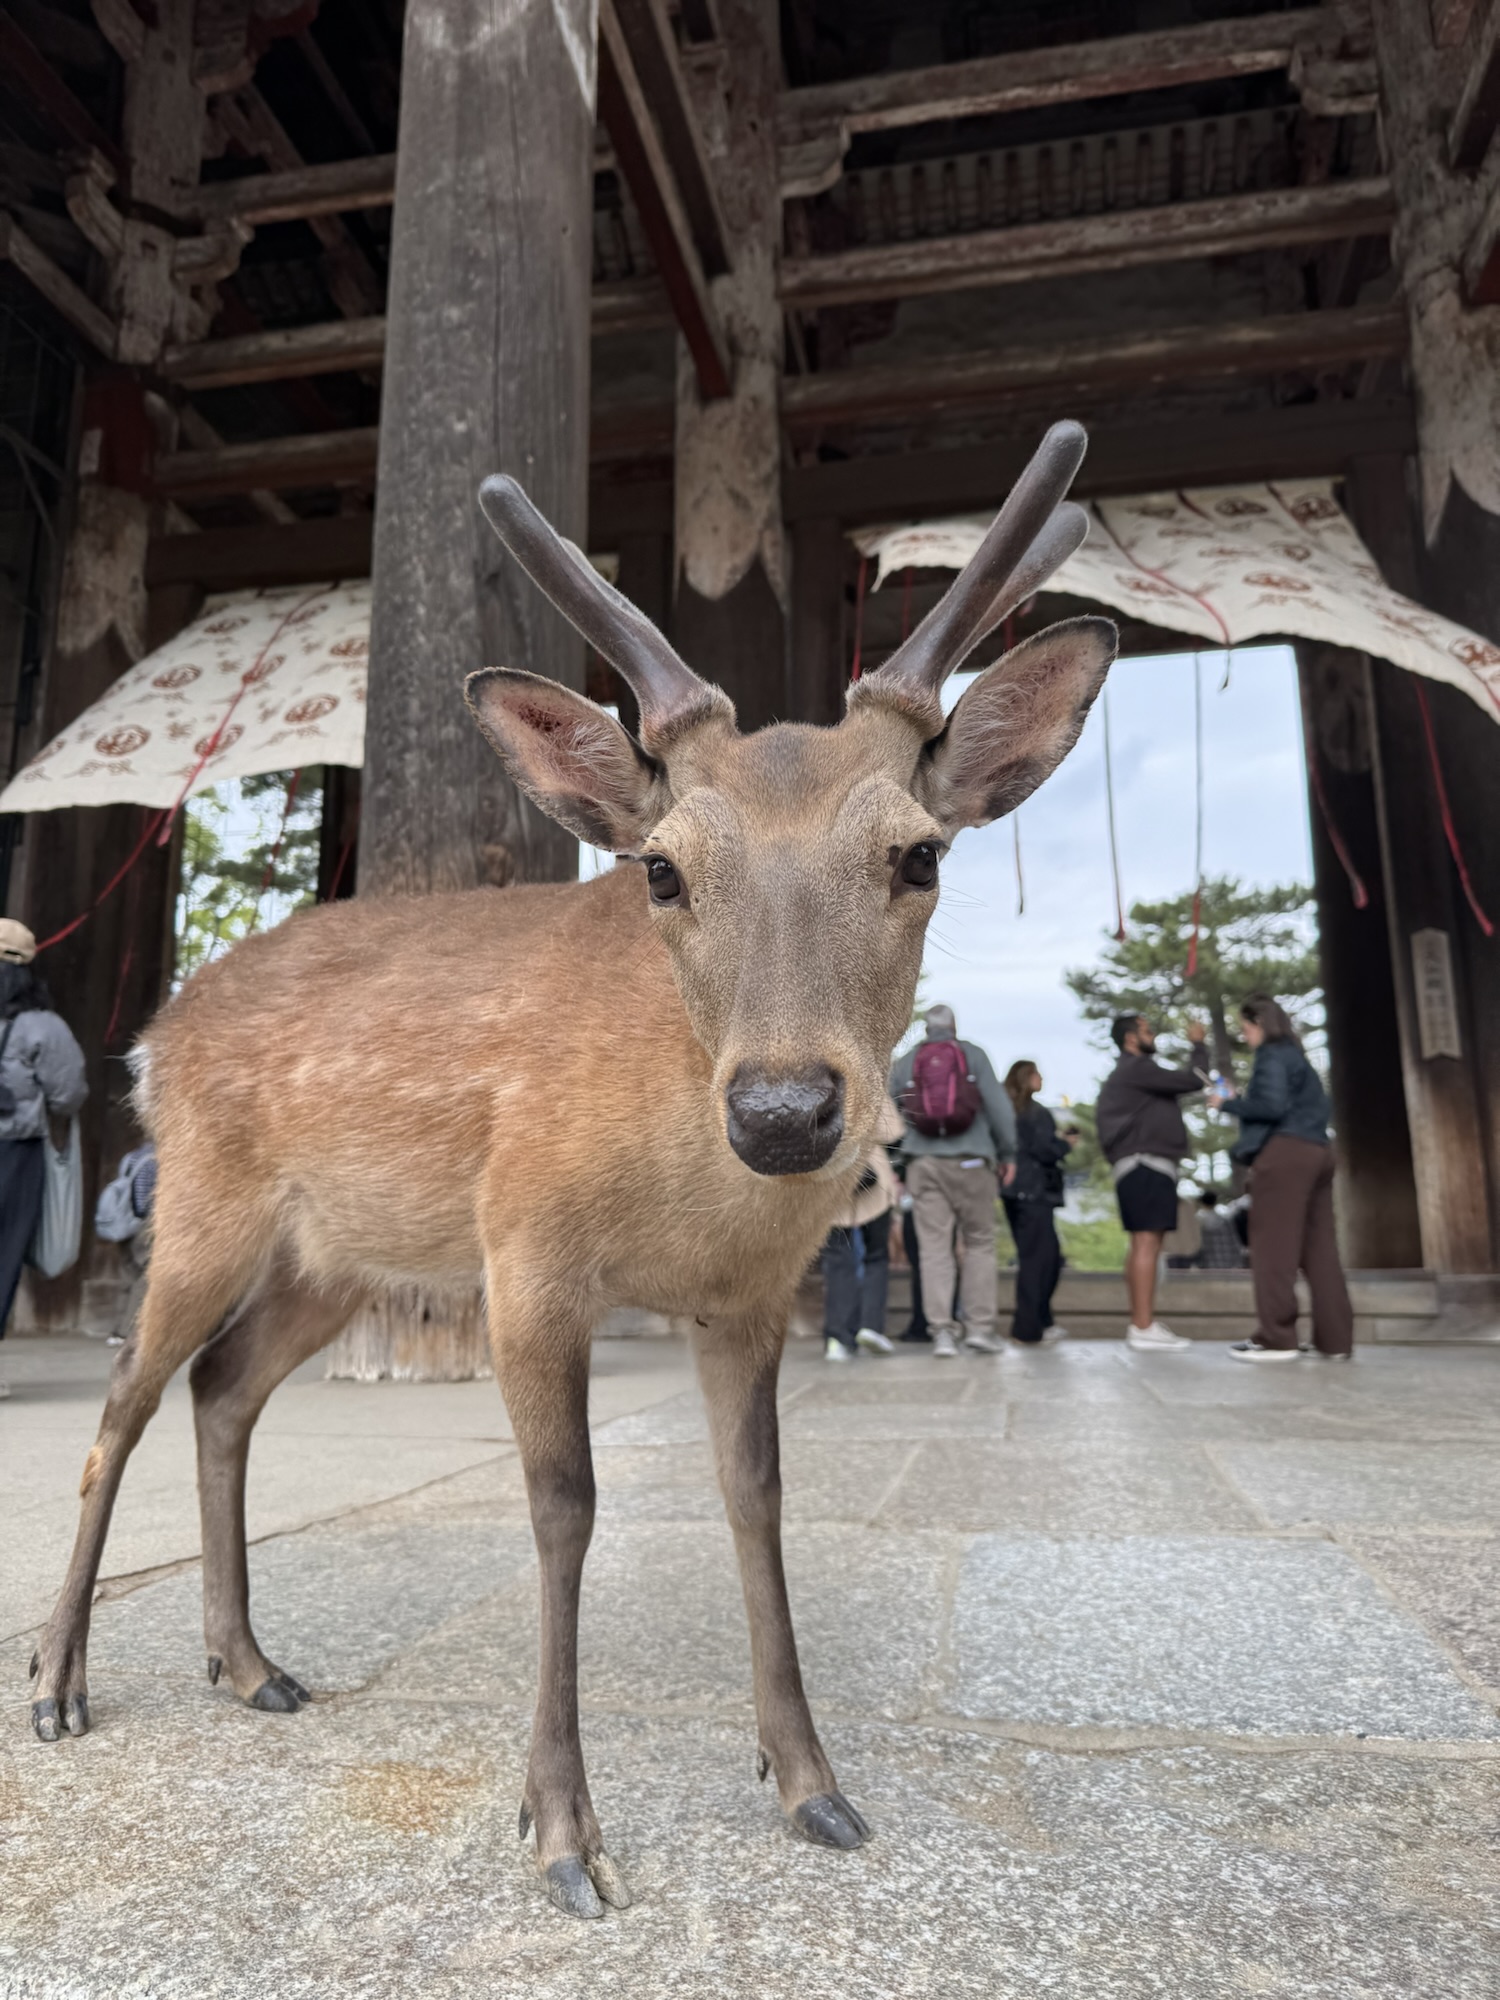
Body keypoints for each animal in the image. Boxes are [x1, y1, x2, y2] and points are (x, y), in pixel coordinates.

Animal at [28, 421, 1114, 1920]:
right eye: (659, 868)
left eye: (919, 853)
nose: (785, 1112)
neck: (688, 1203)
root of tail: (153, 1030)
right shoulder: (528, 1247)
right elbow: (565, 1505)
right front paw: (561, 1834)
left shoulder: (751, 1301)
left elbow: (757, 1496)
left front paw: (814, 1785)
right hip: (200, 1203)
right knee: (124, 1398)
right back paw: (58, 1680)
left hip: (334, 1256)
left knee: (223, 1386)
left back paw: (249, 1666)